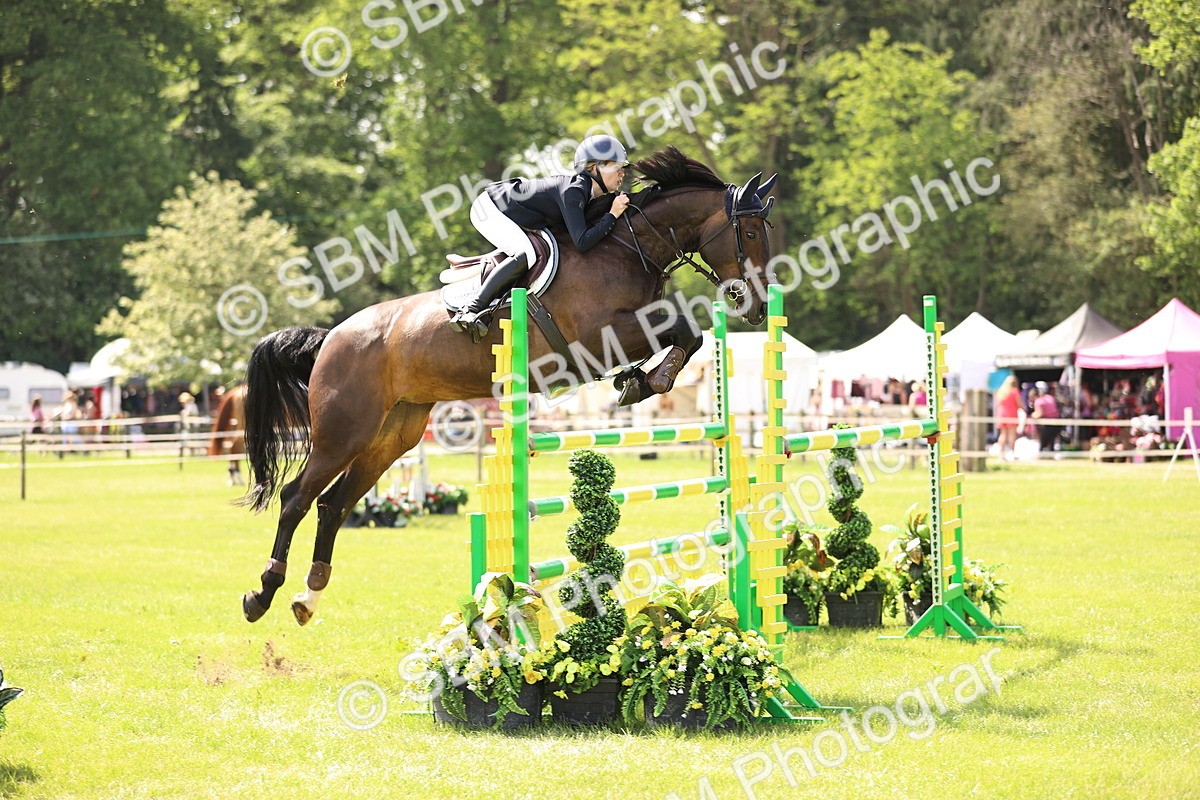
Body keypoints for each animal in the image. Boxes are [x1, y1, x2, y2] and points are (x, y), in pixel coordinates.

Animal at [239, 146, 777, 625]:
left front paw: (640, 380)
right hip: (343, 431)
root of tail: (332, 336)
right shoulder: (596, 338)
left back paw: (308, 598)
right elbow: (684, 327)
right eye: (749, 231)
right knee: (297, 498)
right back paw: (262, 593)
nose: (756, 307)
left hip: (392, 435)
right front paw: (648, 380)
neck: (627, 246)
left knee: (333, 505)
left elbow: (689, 333)